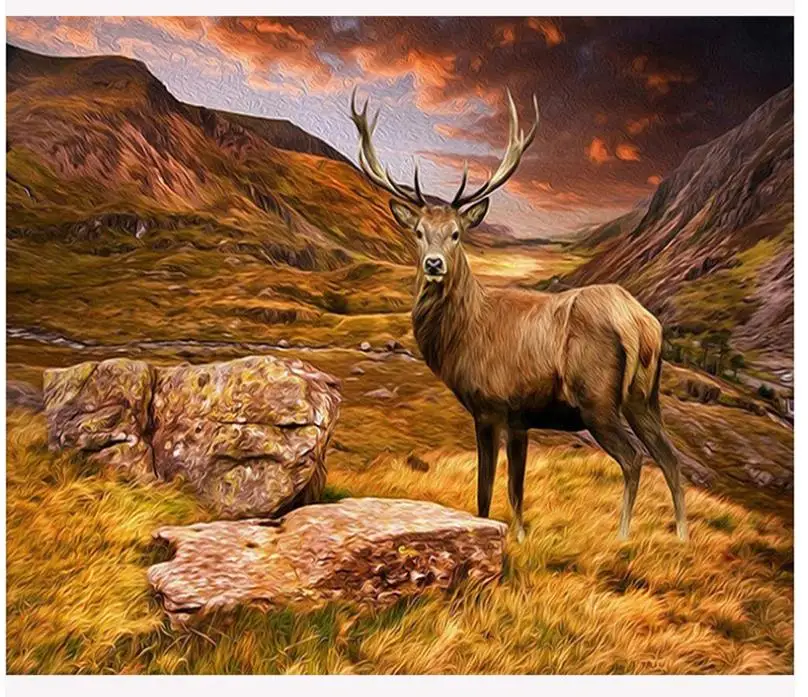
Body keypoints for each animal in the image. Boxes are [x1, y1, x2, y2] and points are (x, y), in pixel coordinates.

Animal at [349, 89, 688, 542]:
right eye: (418, 232)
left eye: (456, 233)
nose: (434, 264)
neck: (464, 336)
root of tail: (638, 323)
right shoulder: (521, 418)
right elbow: (507, 488)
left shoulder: (495, 405)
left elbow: (493, 487)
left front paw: (513, 537)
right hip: (645, 398)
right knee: (670, 458)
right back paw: (683, 536)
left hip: (597, 399)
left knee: (634, 458)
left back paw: (623, 536)